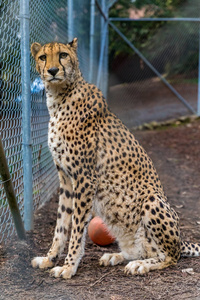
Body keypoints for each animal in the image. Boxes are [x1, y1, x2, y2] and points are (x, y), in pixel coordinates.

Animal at [30, 39, 199, 278]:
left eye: (63, 55)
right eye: (43, 57)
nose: (53, 70)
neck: (58, 98)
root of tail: (181, 240)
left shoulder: (85, 178)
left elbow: (77, 228)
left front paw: (69, 266)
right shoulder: (66, 179)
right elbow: (61, 225)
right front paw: (49, 258)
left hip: (152, 200)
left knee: (170, 257)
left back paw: (141, 265)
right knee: (141, 251)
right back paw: (116, 256)